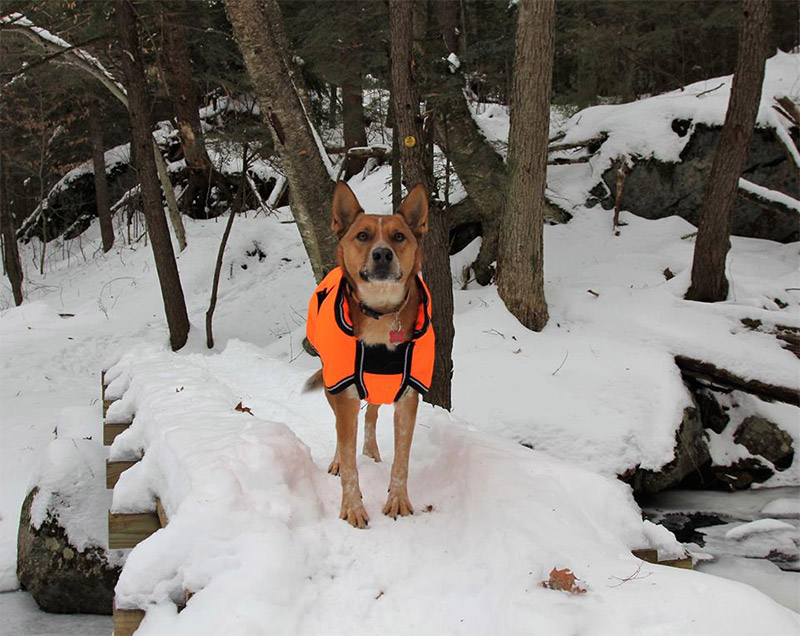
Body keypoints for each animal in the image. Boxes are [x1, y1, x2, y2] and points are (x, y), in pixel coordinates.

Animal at [304, 183, 432, 528]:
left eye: (398, 236)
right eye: (362, 235)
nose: (382, 254)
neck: (381, 313)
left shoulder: (408, 396)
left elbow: (401, 461)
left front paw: (398, 499)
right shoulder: (345, 390)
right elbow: (349, 461)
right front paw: (353, 507)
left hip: (381, 387)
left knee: (372, 413)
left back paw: (372, 449)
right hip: (332, 384)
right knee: (340, 426)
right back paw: (338, 459)